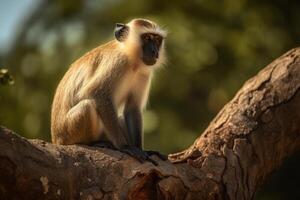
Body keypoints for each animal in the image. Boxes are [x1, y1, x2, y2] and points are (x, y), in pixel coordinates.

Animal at [51, 18, 166, 163]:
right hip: (67, 132)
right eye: (146, 38)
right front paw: (124, 147)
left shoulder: (143, 73)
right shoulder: (119, 61)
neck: (133, 62)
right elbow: (97, 93)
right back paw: (92, 143)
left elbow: (132, 108)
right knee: (87, 105)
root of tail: (56, 139)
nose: (155, 52)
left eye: (157, 40)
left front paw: (141, 149)